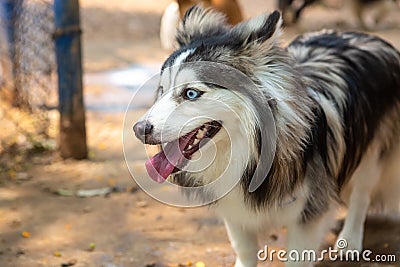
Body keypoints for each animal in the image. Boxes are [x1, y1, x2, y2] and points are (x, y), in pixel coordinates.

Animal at [134, 6, 400, 267]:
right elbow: (244, 250)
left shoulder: (308, 215)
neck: (251, 151)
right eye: (161, 90)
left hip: (371, 155)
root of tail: (367, 36)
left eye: (191, 93)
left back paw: (350, 241)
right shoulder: (235, 211)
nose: (139, 129)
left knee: (361, 196)